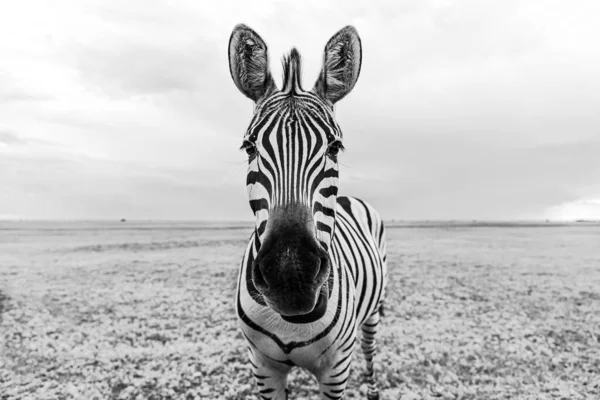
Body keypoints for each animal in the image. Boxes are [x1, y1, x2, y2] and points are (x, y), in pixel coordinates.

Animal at [227, 23, 386, 398]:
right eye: (249, 147)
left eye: (335, 147)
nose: (291, 276)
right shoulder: (262, 366)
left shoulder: (336, 369)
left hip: (373, 312)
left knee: (370, 348)